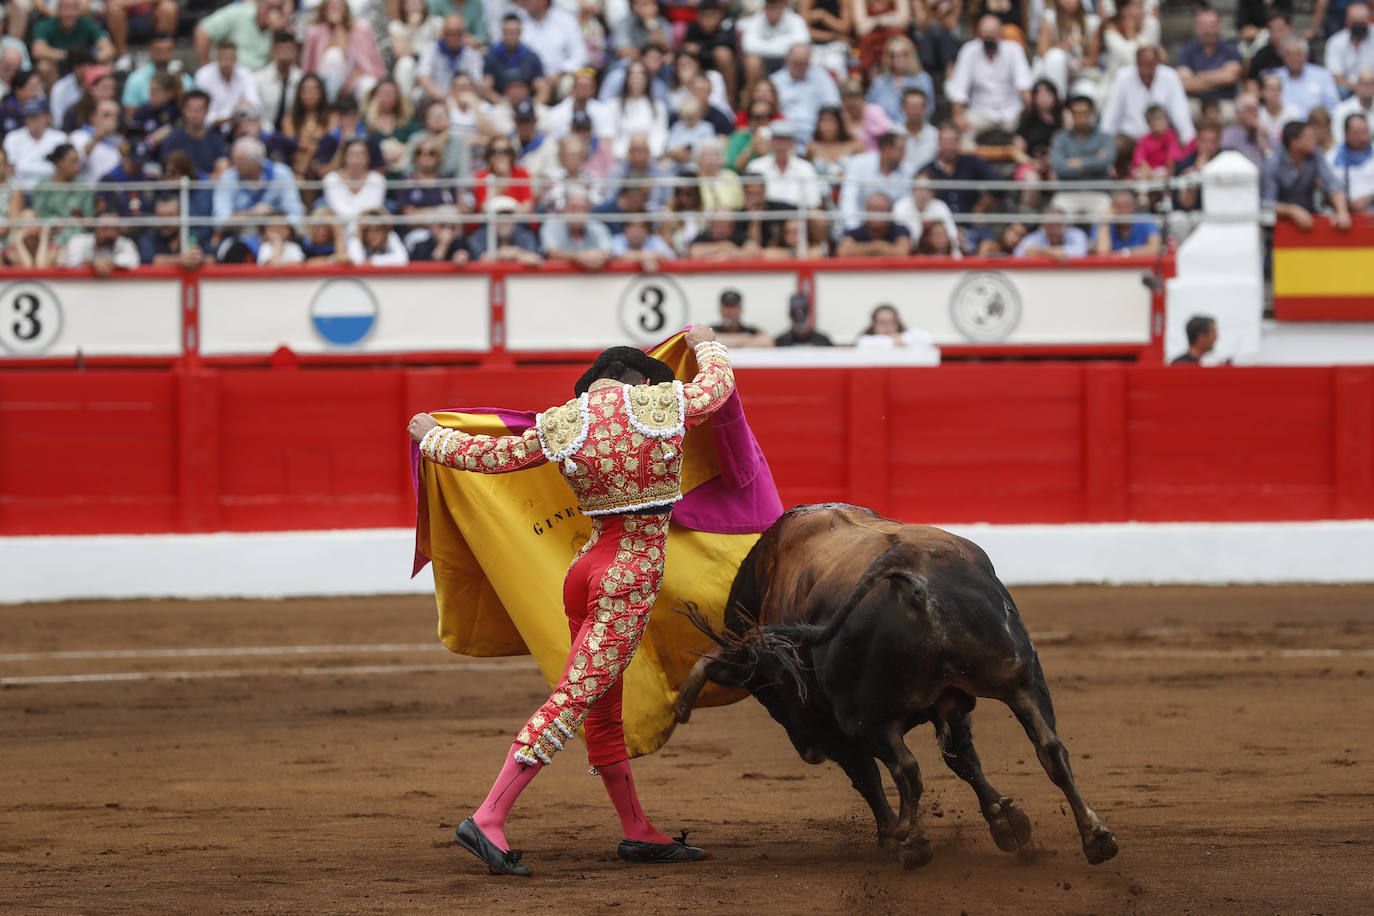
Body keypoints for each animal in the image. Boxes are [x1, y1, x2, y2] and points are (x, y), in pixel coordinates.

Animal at [676, 505, 1115, 873]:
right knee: (1050, 748)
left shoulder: (837, 729)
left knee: (905, 769)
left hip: (864, 719)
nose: (808, 751)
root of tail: (909, 572)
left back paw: (911, 843)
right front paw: (1005, 820)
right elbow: (963, 759)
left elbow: (868, 775)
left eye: (768, 688)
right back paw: (1096, 838)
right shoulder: (950, 702)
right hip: (1021, 677)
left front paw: (891, 835)